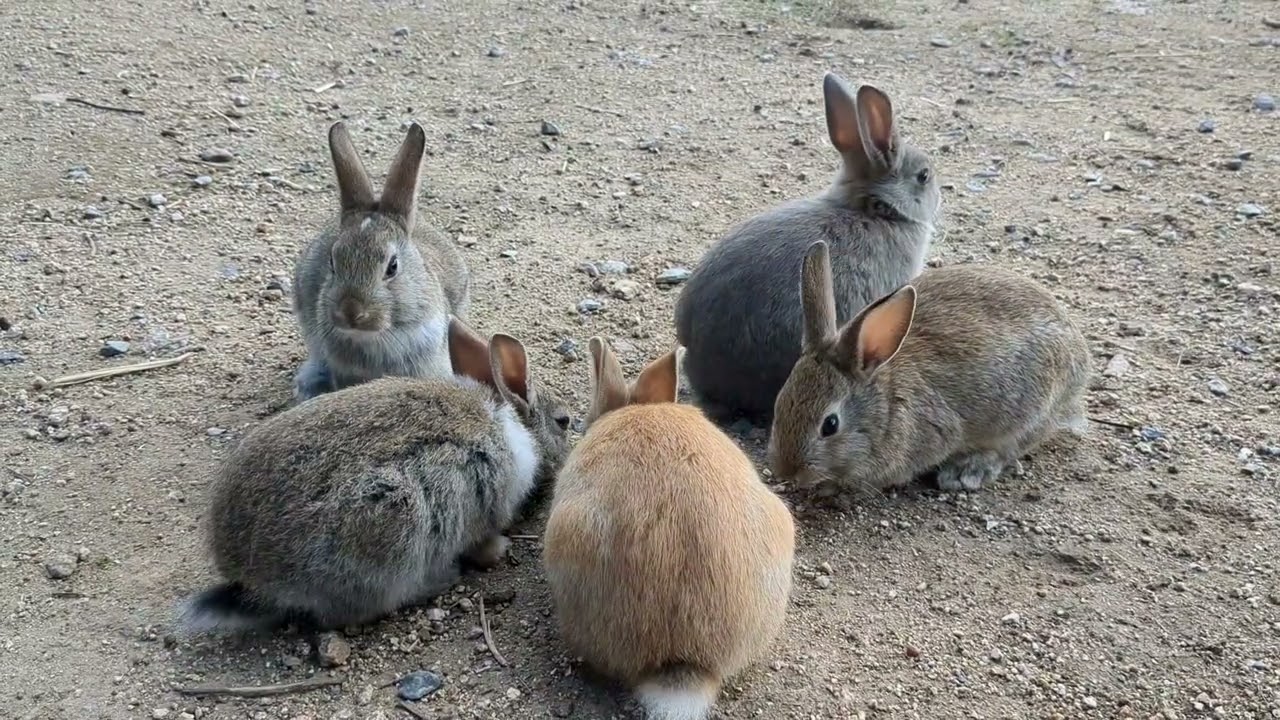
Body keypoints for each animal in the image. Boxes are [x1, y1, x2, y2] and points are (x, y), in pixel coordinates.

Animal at [177, 318, 571, 634]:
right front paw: (499, 549)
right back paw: (440, 579)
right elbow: (483, 541)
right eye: (564, 421)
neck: (514, 424)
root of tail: (253, 583)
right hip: (393, 524)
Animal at [769, 240, 1090, 497]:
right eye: (779, 405)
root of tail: (1080, 359)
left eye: (830, 425)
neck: (886, 405)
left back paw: (966, 471)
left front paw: (828, 488)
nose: (786, 471)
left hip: (1030, 410)